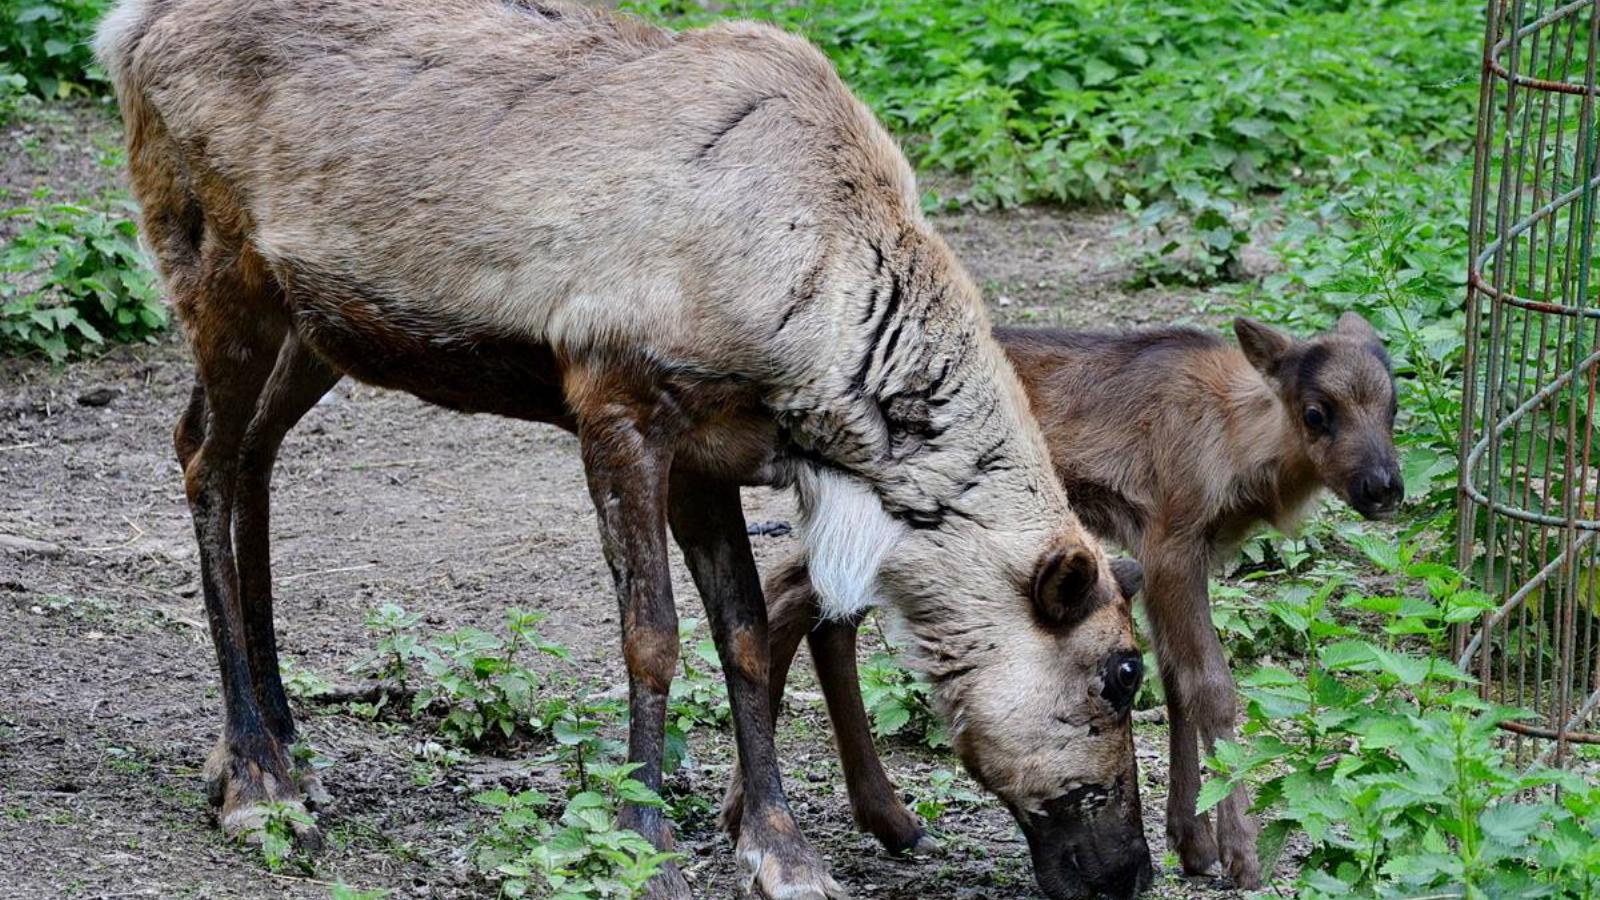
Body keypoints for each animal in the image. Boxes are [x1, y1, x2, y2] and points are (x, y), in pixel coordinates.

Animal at [736, 313, 1401, 883]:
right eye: (1316, 412)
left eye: (1394, 407)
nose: (1384, 487)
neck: (1240, 441)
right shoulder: (1172, 541)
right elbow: (1208, 685)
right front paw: (1241, 854)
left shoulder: (1171, 554)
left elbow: (1176, 683)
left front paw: (1192, 842)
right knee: (791, 591)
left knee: (820, 609)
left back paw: (868, 821)